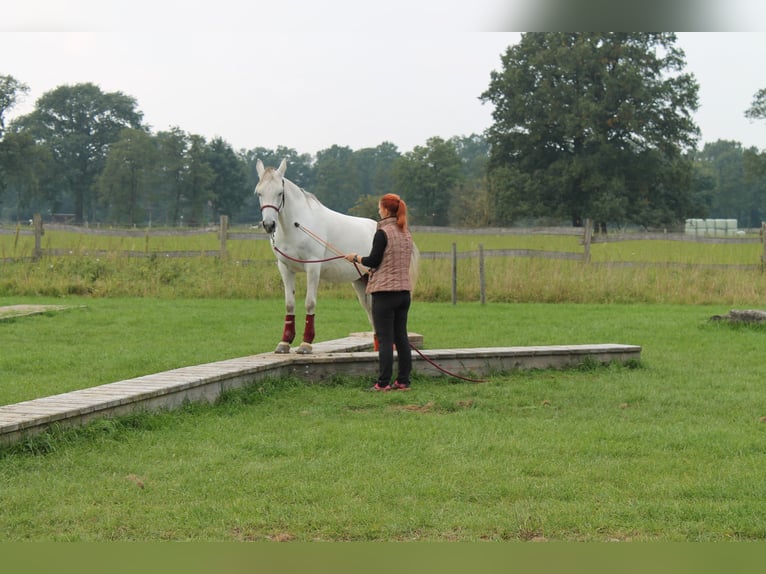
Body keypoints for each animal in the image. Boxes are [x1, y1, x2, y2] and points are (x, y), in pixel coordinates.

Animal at [256, 159, 384, 356]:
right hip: (360, 280)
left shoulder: (312, 267)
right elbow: (289, 304)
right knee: (370, 310)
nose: (269, 225)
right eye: (259, 193)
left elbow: (310, 303)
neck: (297, 226)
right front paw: (284, 343)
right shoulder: (285, 268)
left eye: (280, 193)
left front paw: (306, 344)